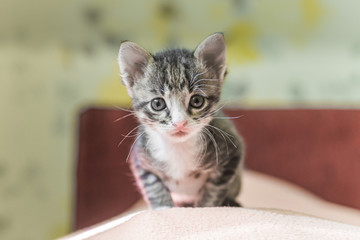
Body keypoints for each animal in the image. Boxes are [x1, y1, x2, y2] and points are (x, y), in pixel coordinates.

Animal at [118, 32, 245, 208]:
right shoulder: (140, 161)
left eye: (197, 101)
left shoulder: (232, 153)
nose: (180, 123)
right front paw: (164, 208)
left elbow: (213, 192)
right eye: (158, 104)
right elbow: (154, 188)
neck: (178, 149)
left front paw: (204, 206)